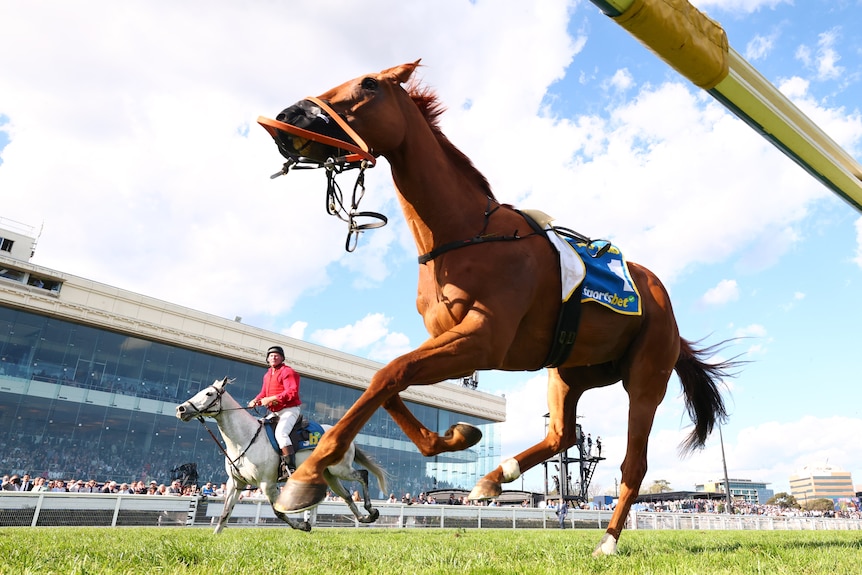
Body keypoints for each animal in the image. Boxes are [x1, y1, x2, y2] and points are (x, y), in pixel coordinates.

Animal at [175, 377, 387, 533]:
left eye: (209, 393)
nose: (181, 409)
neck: (244, 438)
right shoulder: (235, 483)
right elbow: (225, 512)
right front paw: (216, 536)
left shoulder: (267, 484)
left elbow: (279, 512)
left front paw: (303, 525)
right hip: (330, 475)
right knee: (347, 495)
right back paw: (365, 517)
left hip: (340, 469)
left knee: (362, 475)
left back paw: (371, 510)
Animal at [258, 60, 739, 556]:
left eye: (369, 85)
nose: (288, 116)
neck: (465, 233)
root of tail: (669, 312)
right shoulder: (451, 341)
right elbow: (390, 381)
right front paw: (456, 435)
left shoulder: (483, 341)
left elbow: (388, 374)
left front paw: (307, 476)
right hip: (570, 371)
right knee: (562, 433)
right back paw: (494, 477)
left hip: (645, 376)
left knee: (633, 464)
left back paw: (607, 540)